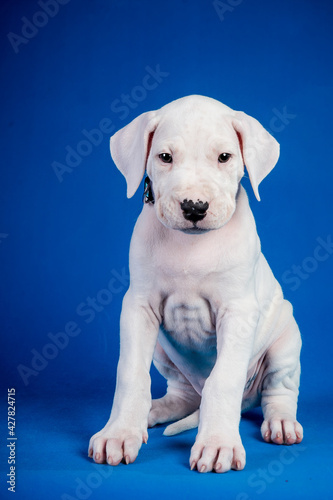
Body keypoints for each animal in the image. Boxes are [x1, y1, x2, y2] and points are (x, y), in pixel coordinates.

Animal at [88, 94, 300, 472]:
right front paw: (119, 432)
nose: (194, 207)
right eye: (165, 157)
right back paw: (152, 412)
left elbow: (224, 379)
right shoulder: (138, 307)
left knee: (279, 391)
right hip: (163, 351)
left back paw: (281, 423)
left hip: (286, 342)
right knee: (182, 395)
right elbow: (131, 374)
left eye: (224, 157)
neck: (191, 248)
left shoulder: (238, 312)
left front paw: (217, 443)